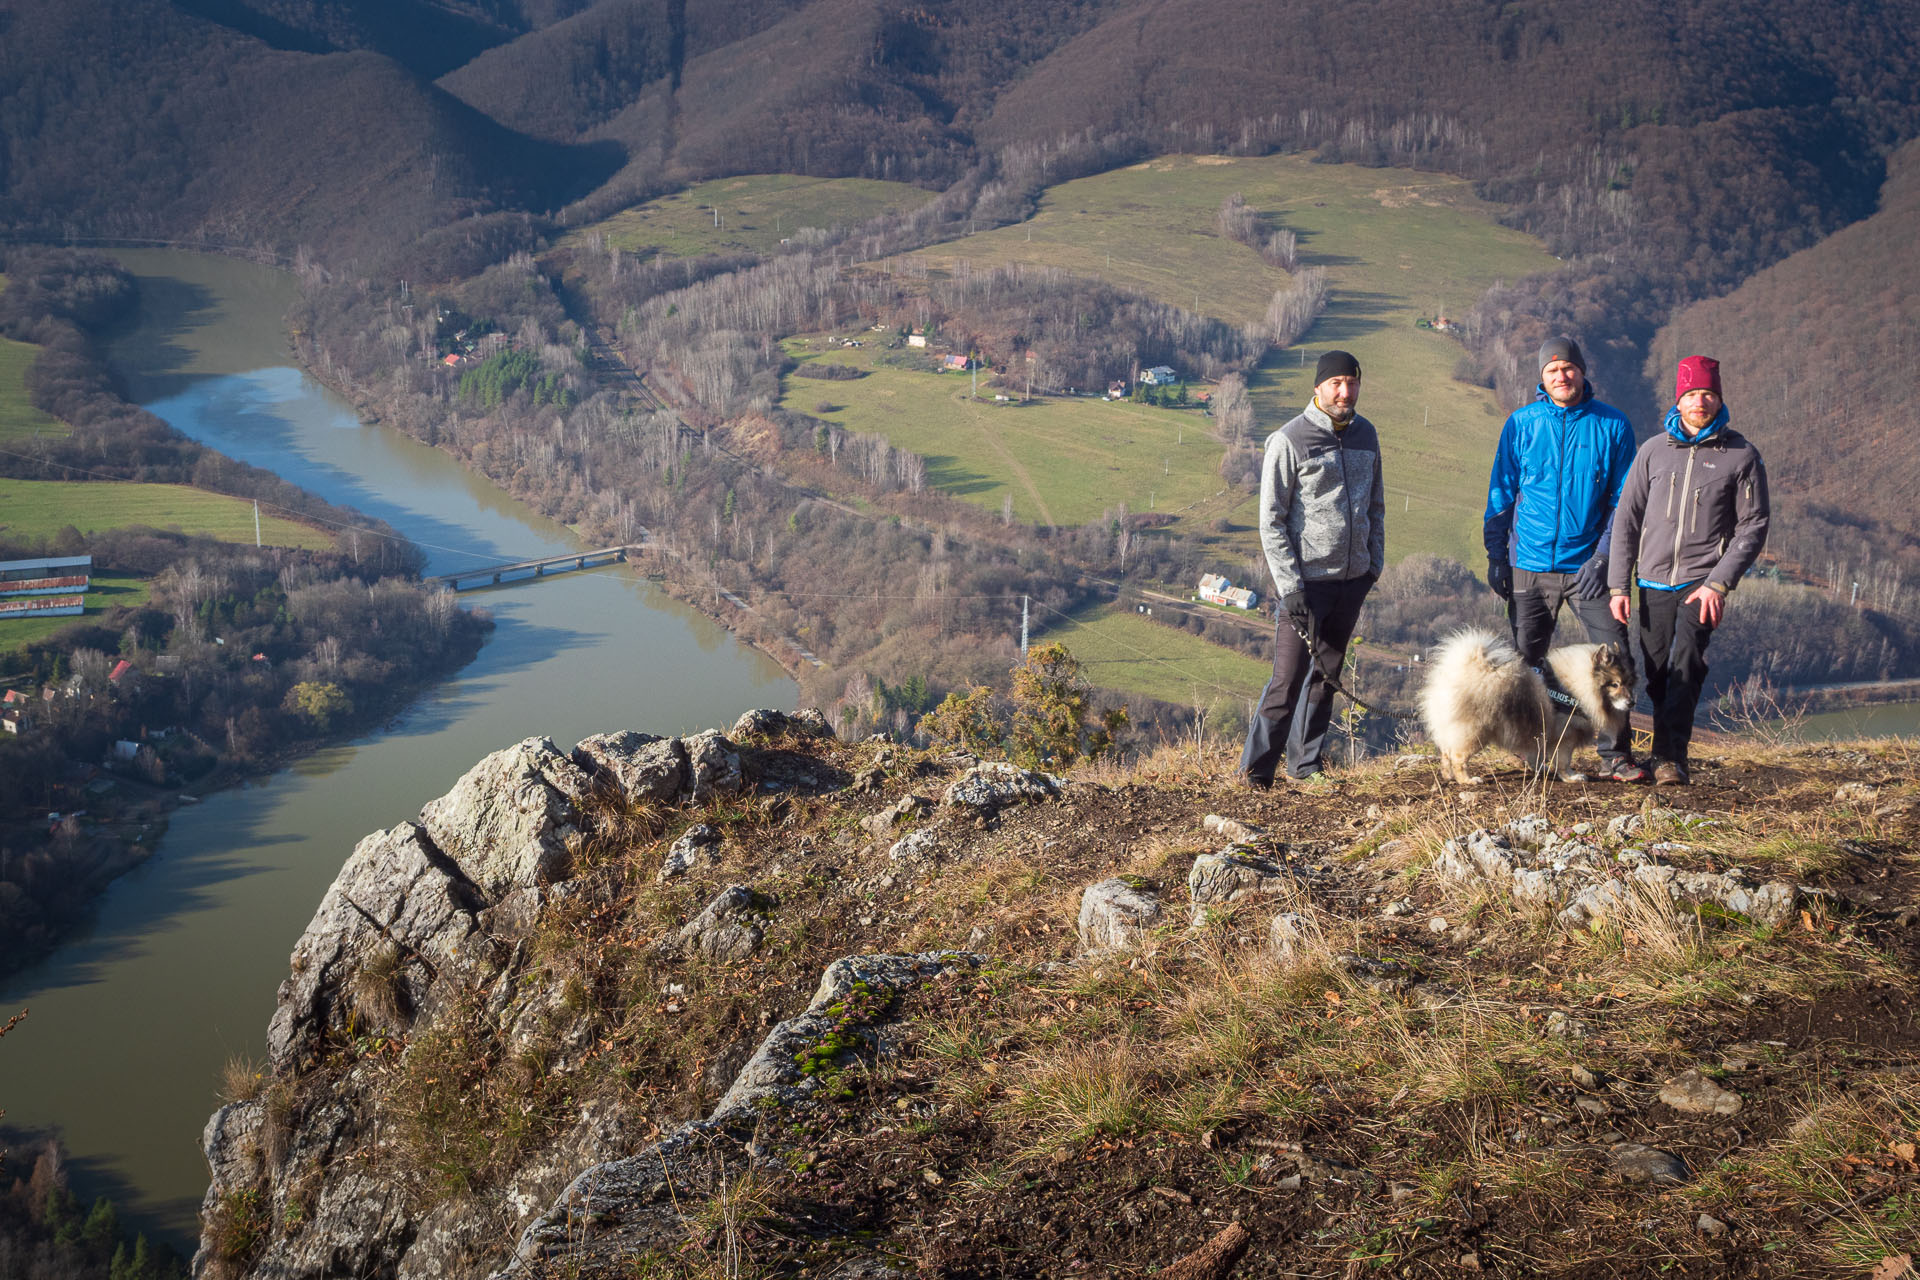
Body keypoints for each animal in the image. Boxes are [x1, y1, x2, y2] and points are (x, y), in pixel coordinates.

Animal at [1413, 629, 1635, 786]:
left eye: (1629, 683)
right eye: (1615, 684)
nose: (1631, 702)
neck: (1575, 685)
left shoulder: (1542, 735)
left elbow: (1537, 755)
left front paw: (1542, 769)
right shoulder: (1565, 736)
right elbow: (1564, 762)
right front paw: (1571, 777)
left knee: (1446, 753)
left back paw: (1448, 775)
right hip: (1475, 733)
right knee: (1457, 757)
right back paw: (1466, 780)